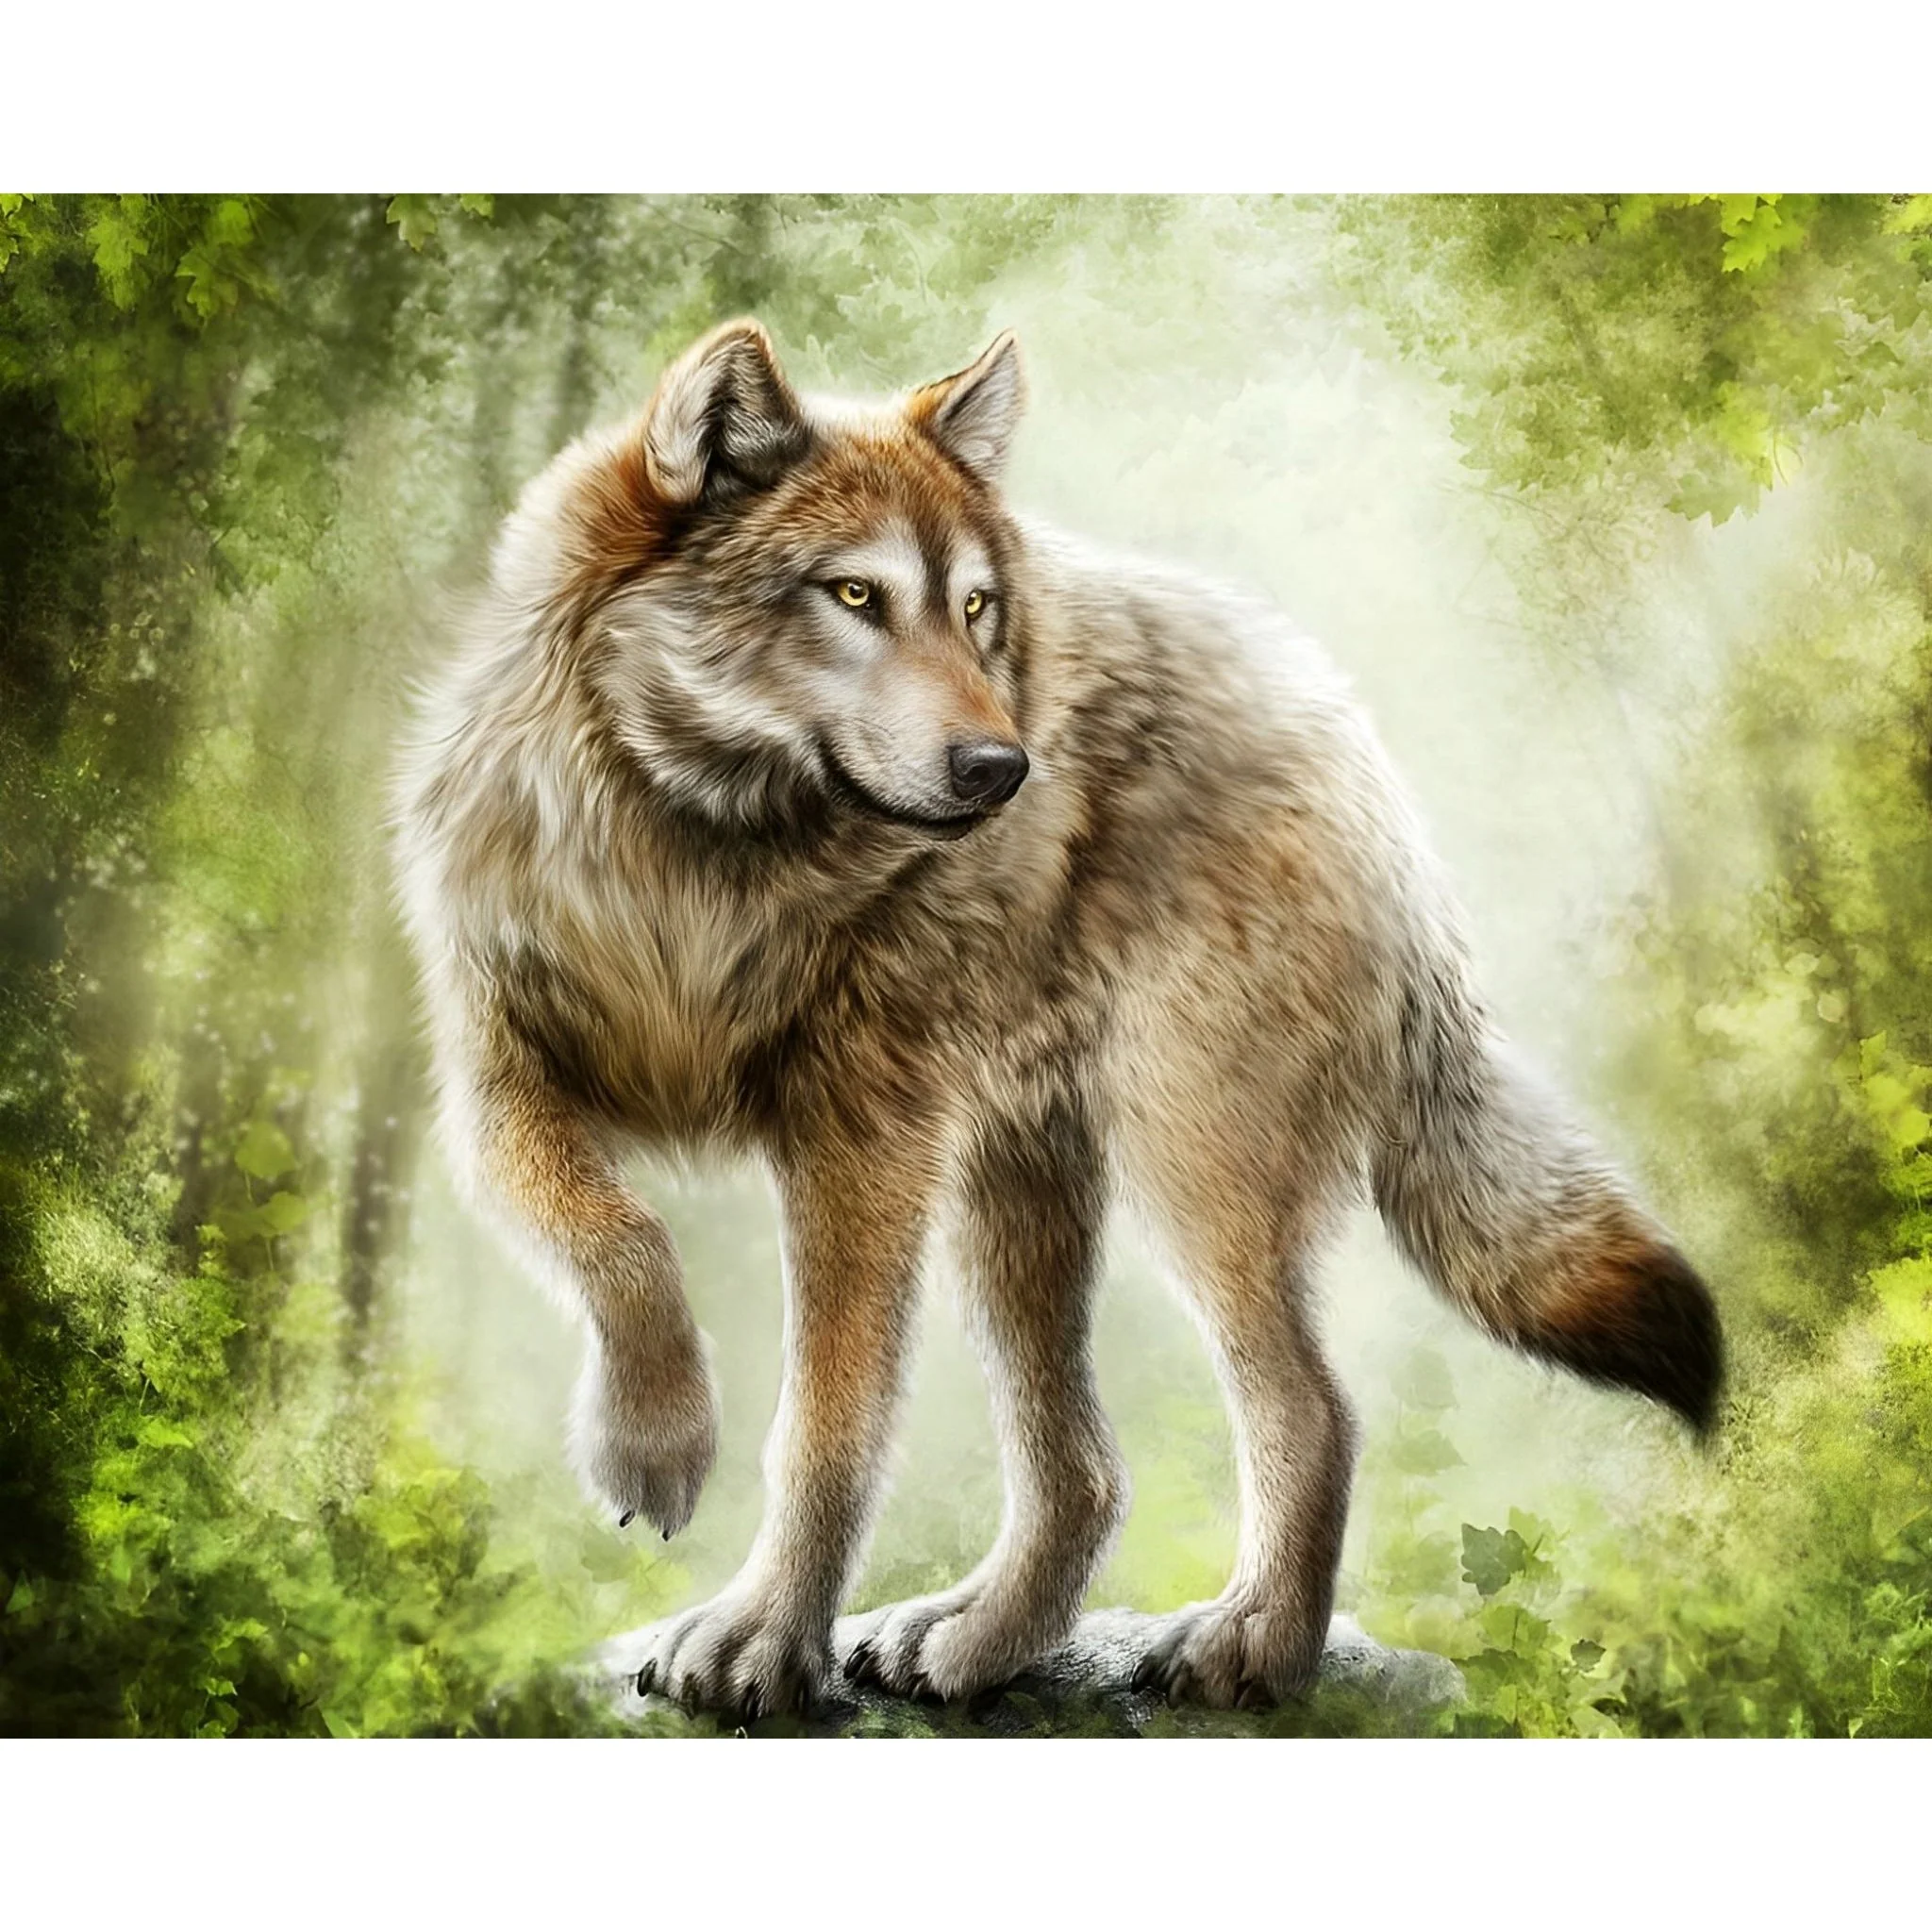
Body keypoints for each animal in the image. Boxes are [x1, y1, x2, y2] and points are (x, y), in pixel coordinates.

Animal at [394, 319, 1723, 1720]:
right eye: (854, 596)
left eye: (975, 608)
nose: (1003, 770)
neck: (693, 861)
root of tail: (1355, 746)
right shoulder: (493, 1094)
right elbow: (623, 1240)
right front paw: (650, 1446)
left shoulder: (858, 1150)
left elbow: (825, 1429)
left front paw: (760, 1636)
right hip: (1017, 1192)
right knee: (1085, 1471)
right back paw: (977, 1640)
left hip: (1180, 1172)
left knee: (1311, 1413)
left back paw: (1251, 1647)